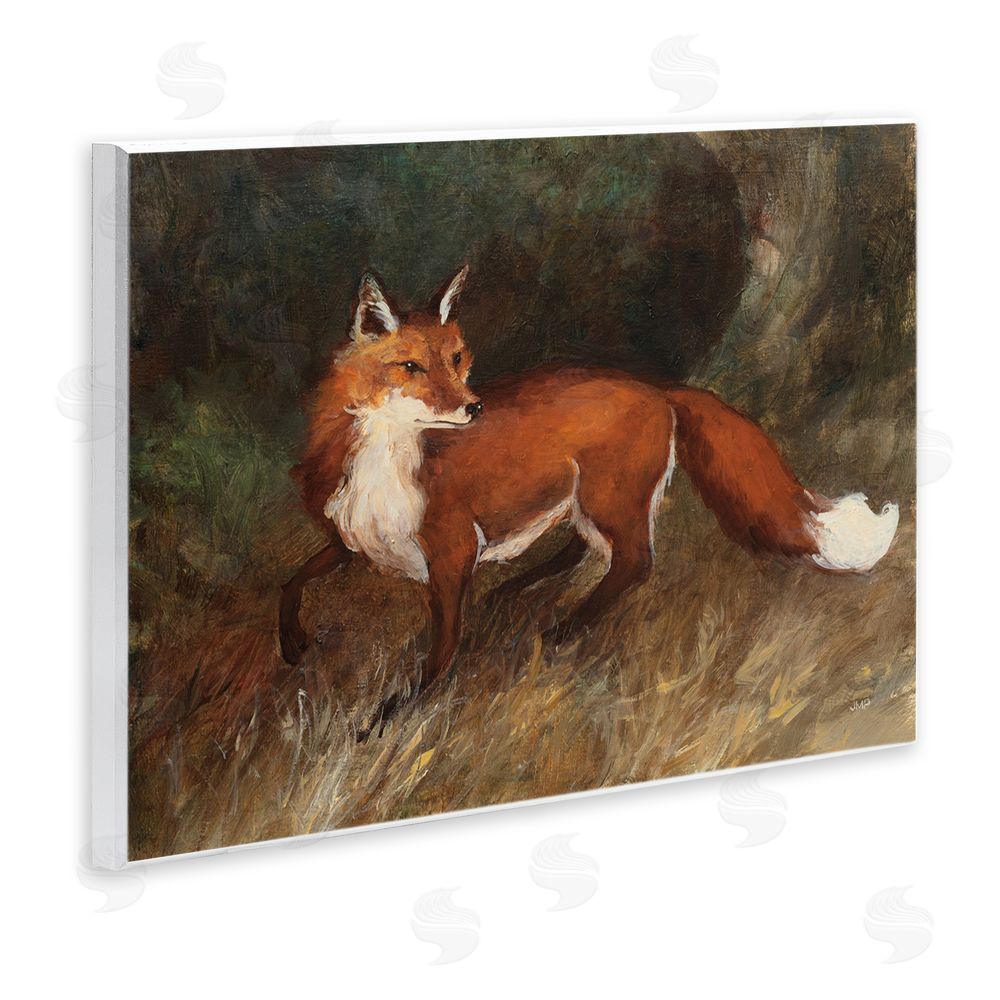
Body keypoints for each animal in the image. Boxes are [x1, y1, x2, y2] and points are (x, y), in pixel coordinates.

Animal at [281, 265, 899, 736]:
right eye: (411, 367)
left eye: (456, 359)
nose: (474, 408)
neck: (387, 462)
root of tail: (655, 387)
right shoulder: (351, 540)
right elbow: (292, 580)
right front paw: (292, 645)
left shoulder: (450, 555)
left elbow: (441, 652)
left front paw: (389, 717)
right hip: (585, 500)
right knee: (589, 551)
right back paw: (518, 590)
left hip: (607, 498)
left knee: (633, 562)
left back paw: (563, 629)